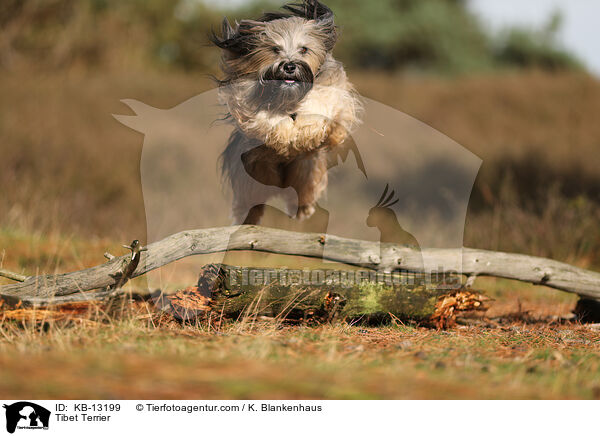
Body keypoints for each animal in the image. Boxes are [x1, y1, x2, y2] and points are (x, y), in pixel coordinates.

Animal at [211, 0, 360, 225]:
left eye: (304, 49)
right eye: (275, 49)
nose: (289, 66)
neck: (289, 97)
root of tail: (279, 185)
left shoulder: (335, 97)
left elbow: (321, 105)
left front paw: (305, 132)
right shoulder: (244, 99)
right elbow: (264, 116)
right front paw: (285, 134)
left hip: (305, 172)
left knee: (301, 191)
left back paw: (302, 208)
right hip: (252, 176)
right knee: (250, 201)